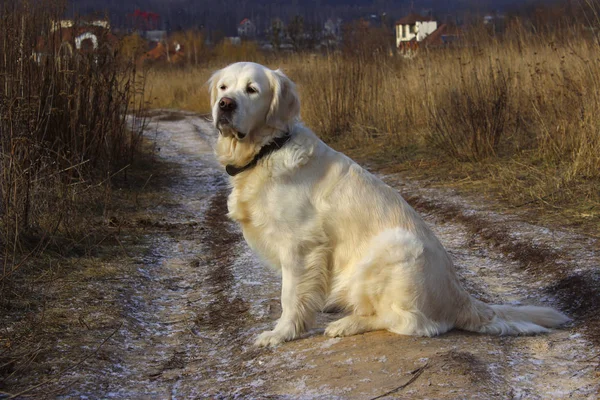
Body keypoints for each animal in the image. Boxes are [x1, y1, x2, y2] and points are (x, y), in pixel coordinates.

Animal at [209, 61, 568, 346]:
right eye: (224, 87)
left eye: (252, 89)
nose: (225, 105)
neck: (266, 150)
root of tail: (461, 297)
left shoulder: (301, 244)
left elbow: (290, 295)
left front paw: (281, 333)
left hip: (392, 248)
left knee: (412, 323)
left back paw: (348, 323)